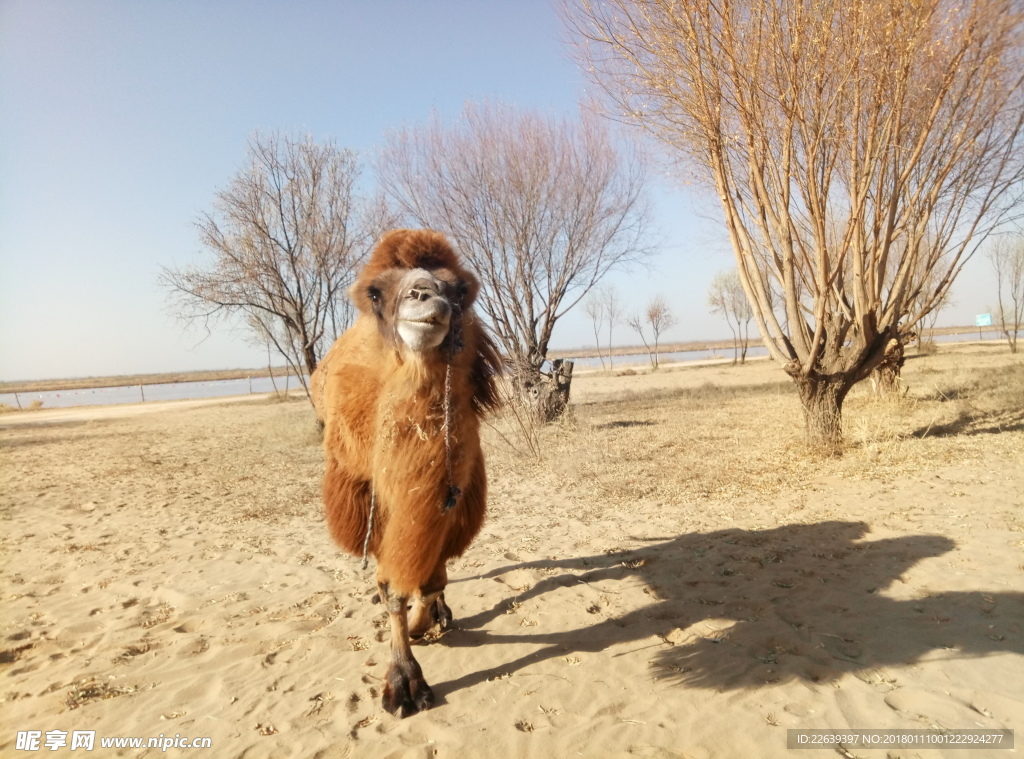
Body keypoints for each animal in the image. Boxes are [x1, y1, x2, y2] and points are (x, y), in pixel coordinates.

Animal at [313, 229, 501, 717]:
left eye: (458, 289)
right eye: (377, 293)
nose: (424, 295)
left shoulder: (452, 495)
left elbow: (430, 577)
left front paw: (425, 623)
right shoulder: (373, 499)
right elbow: (391, 588)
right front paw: (404, 684)